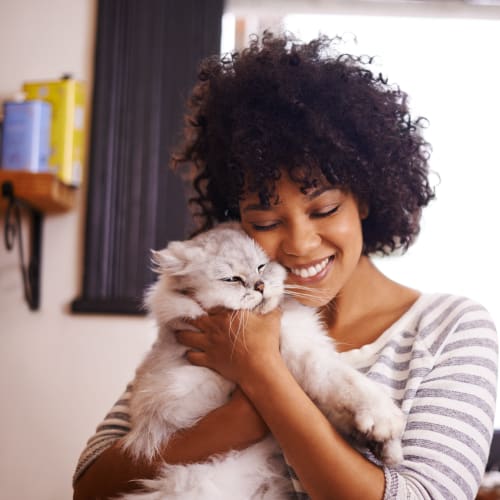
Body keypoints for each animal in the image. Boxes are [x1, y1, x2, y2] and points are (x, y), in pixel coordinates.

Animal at [121, 224, 406, 500]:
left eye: (261, 267)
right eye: (232, 279)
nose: (259, 286)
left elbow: (343, 397)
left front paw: (385, 445)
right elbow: (344, 384)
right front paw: (383, 425)